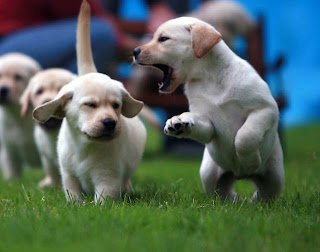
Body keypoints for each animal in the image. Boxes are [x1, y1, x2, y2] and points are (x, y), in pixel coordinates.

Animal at [32, 0, 148, 204]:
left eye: (116, 106)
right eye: (90, 105)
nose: (110, 122)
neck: (85, 146)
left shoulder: (108, 179)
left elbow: (102, 202)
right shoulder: (68, 175)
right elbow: (73, 197)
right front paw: (75, 206)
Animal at [133, 16, 284, 202]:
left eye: (163, 39)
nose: (134, 51)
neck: (209, 78)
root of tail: (239, 176)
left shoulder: (266, 109)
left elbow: (245, 136)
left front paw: (250, 162)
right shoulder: (208, 123)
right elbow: (200, 124)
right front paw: (179, 123)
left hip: (275, 178)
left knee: (264, 196)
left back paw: (253, 198)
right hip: (208, 174)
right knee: (224, 195)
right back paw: (234, 201)